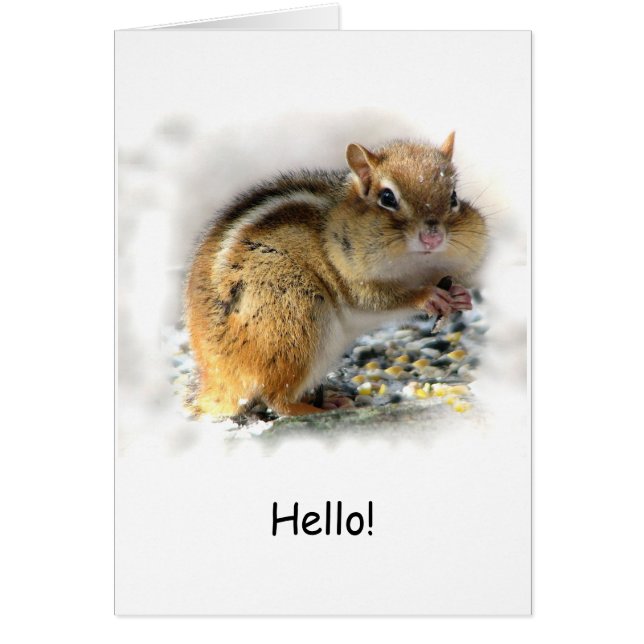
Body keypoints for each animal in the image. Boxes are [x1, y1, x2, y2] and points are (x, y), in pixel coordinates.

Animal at [185, 133, 487, 417]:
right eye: (387, 198)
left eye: (453, 197)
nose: (432, 238)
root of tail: (218, 381)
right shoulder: (350, 277)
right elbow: (377, 300)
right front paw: (427, 296)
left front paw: (460, 295)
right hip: (292, 314)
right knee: (276, 399)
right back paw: (314, 409)